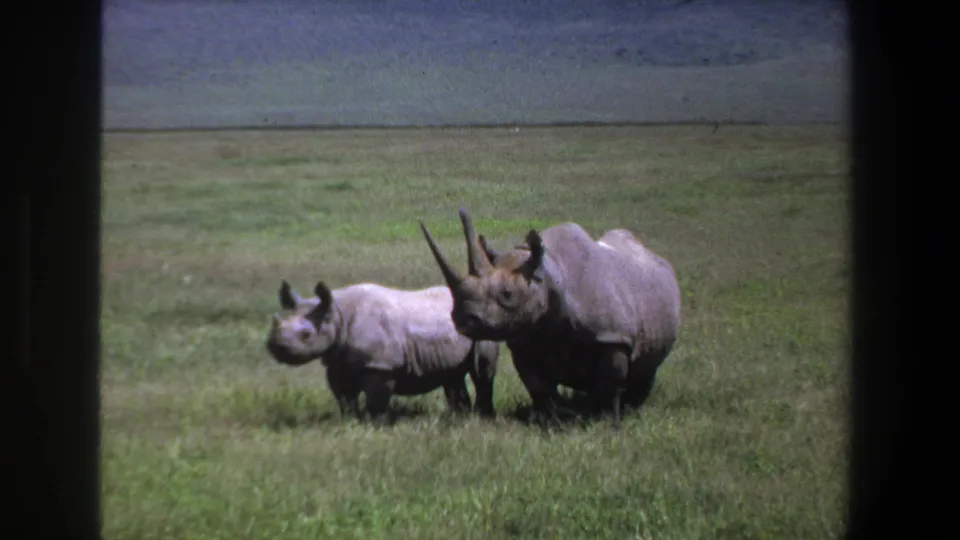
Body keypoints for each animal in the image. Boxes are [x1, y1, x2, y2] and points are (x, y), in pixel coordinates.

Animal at [265, 279, 500, 424]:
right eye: (276, 323)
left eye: (306, 335)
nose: (276, 346)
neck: (337, 313)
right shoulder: (336, 361)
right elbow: (344, 399)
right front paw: (351, 422)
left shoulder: (380, 365)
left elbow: (376, 400)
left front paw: (375, 425)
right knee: (452, 375)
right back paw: (459, 417)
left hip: (483, 325)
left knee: (482, 371)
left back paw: (482, 417)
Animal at [419, 208, 681, 430]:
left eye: (507, 295)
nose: (463, 320)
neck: (548, 275)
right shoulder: (525, 339)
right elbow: (537, 384)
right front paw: (552, 421)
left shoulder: (613, 336)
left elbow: (611, 383)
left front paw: (608, 425)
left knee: (647, 367)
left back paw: (631, 410)